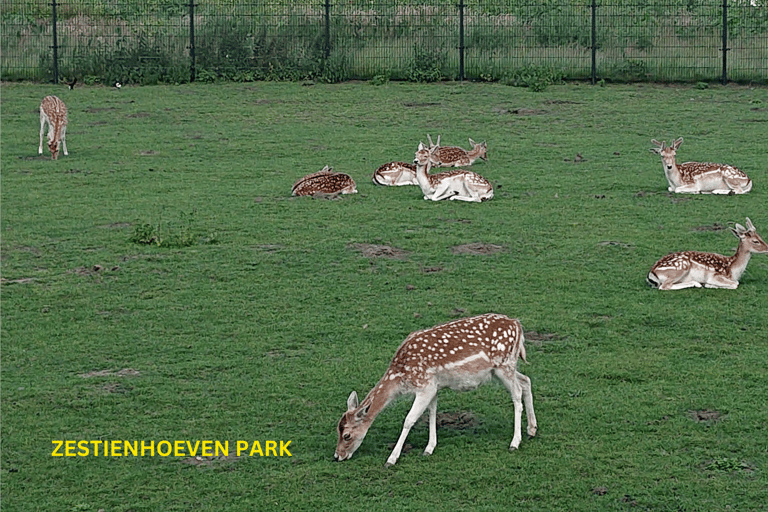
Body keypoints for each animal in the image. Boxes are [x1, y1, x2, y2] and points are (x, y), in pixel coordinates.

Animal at [332, 314, 536, 466]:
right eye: (337, 430)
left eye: (347, 435)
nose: (337, 456)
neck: (401, 377)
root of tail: (517, 325)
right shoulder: (434, 386)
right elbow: (432, 412)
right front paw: (429, 448)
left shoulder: (425, 386)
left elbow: (409, 420)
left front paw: (391, 459)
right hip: (500, 370)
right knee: (526, 381)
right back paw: (532, 429)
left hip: (504, 365)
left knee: (517, 393)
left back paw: (515, 442)